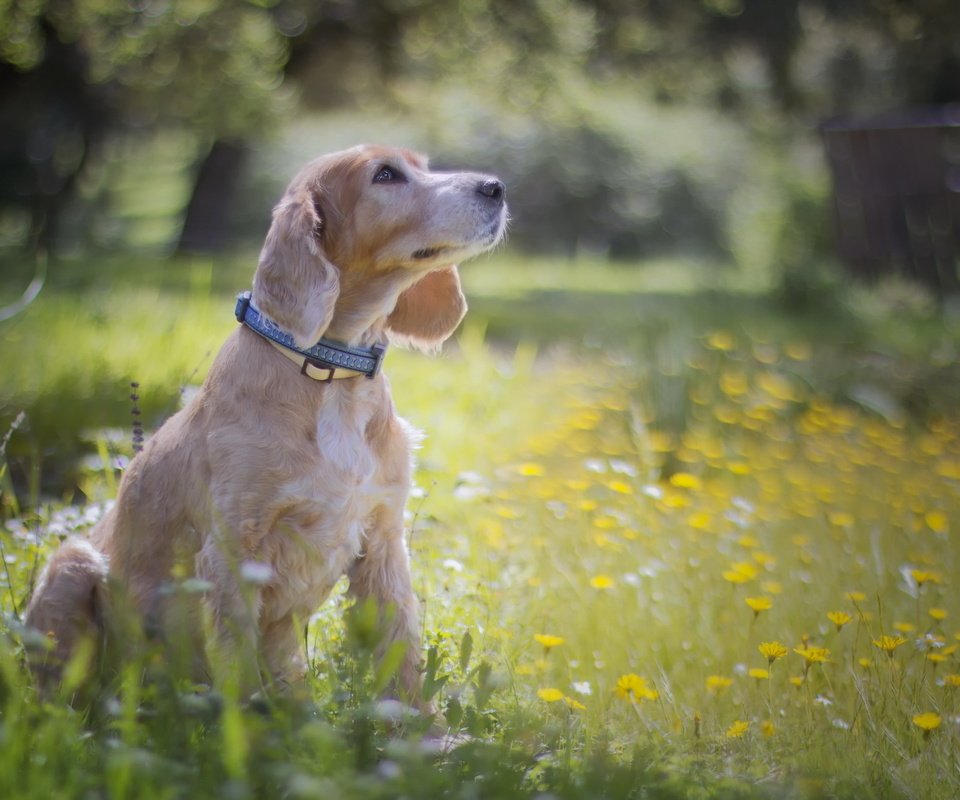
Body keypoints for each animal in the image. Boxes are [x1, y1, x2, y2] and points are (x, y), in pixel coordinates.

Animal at [24, 145, 510, 708]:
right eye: (385, 175)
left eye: (423, 166)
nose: (496, 187)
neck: (330, 375)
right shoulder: (233, 550)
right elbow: (237, 666)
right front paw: (249, 730)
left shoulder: (383, 540)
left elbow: (402, 652)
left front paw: (423, 729)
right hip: (71, 566)